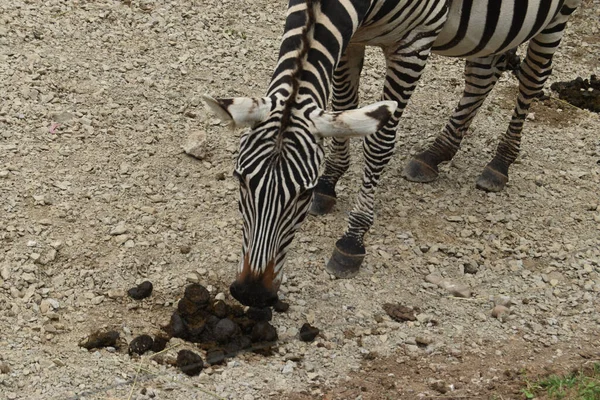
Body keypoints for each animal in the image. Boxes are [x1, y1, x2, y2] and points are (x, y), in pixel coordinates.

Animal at [204, 0, 584, 306]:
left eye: (303, 193)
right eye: (240, 180)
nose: (252, 294)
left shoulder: (413, 44)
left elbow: (379, 142)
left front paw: (352, 238)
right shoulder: (352, 38)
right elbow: (342, 108)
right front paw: (331, 181)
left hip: (558, 15)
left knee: (533, 77)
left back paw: (500, 163)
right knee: (483, 73)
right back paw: (436, 153)